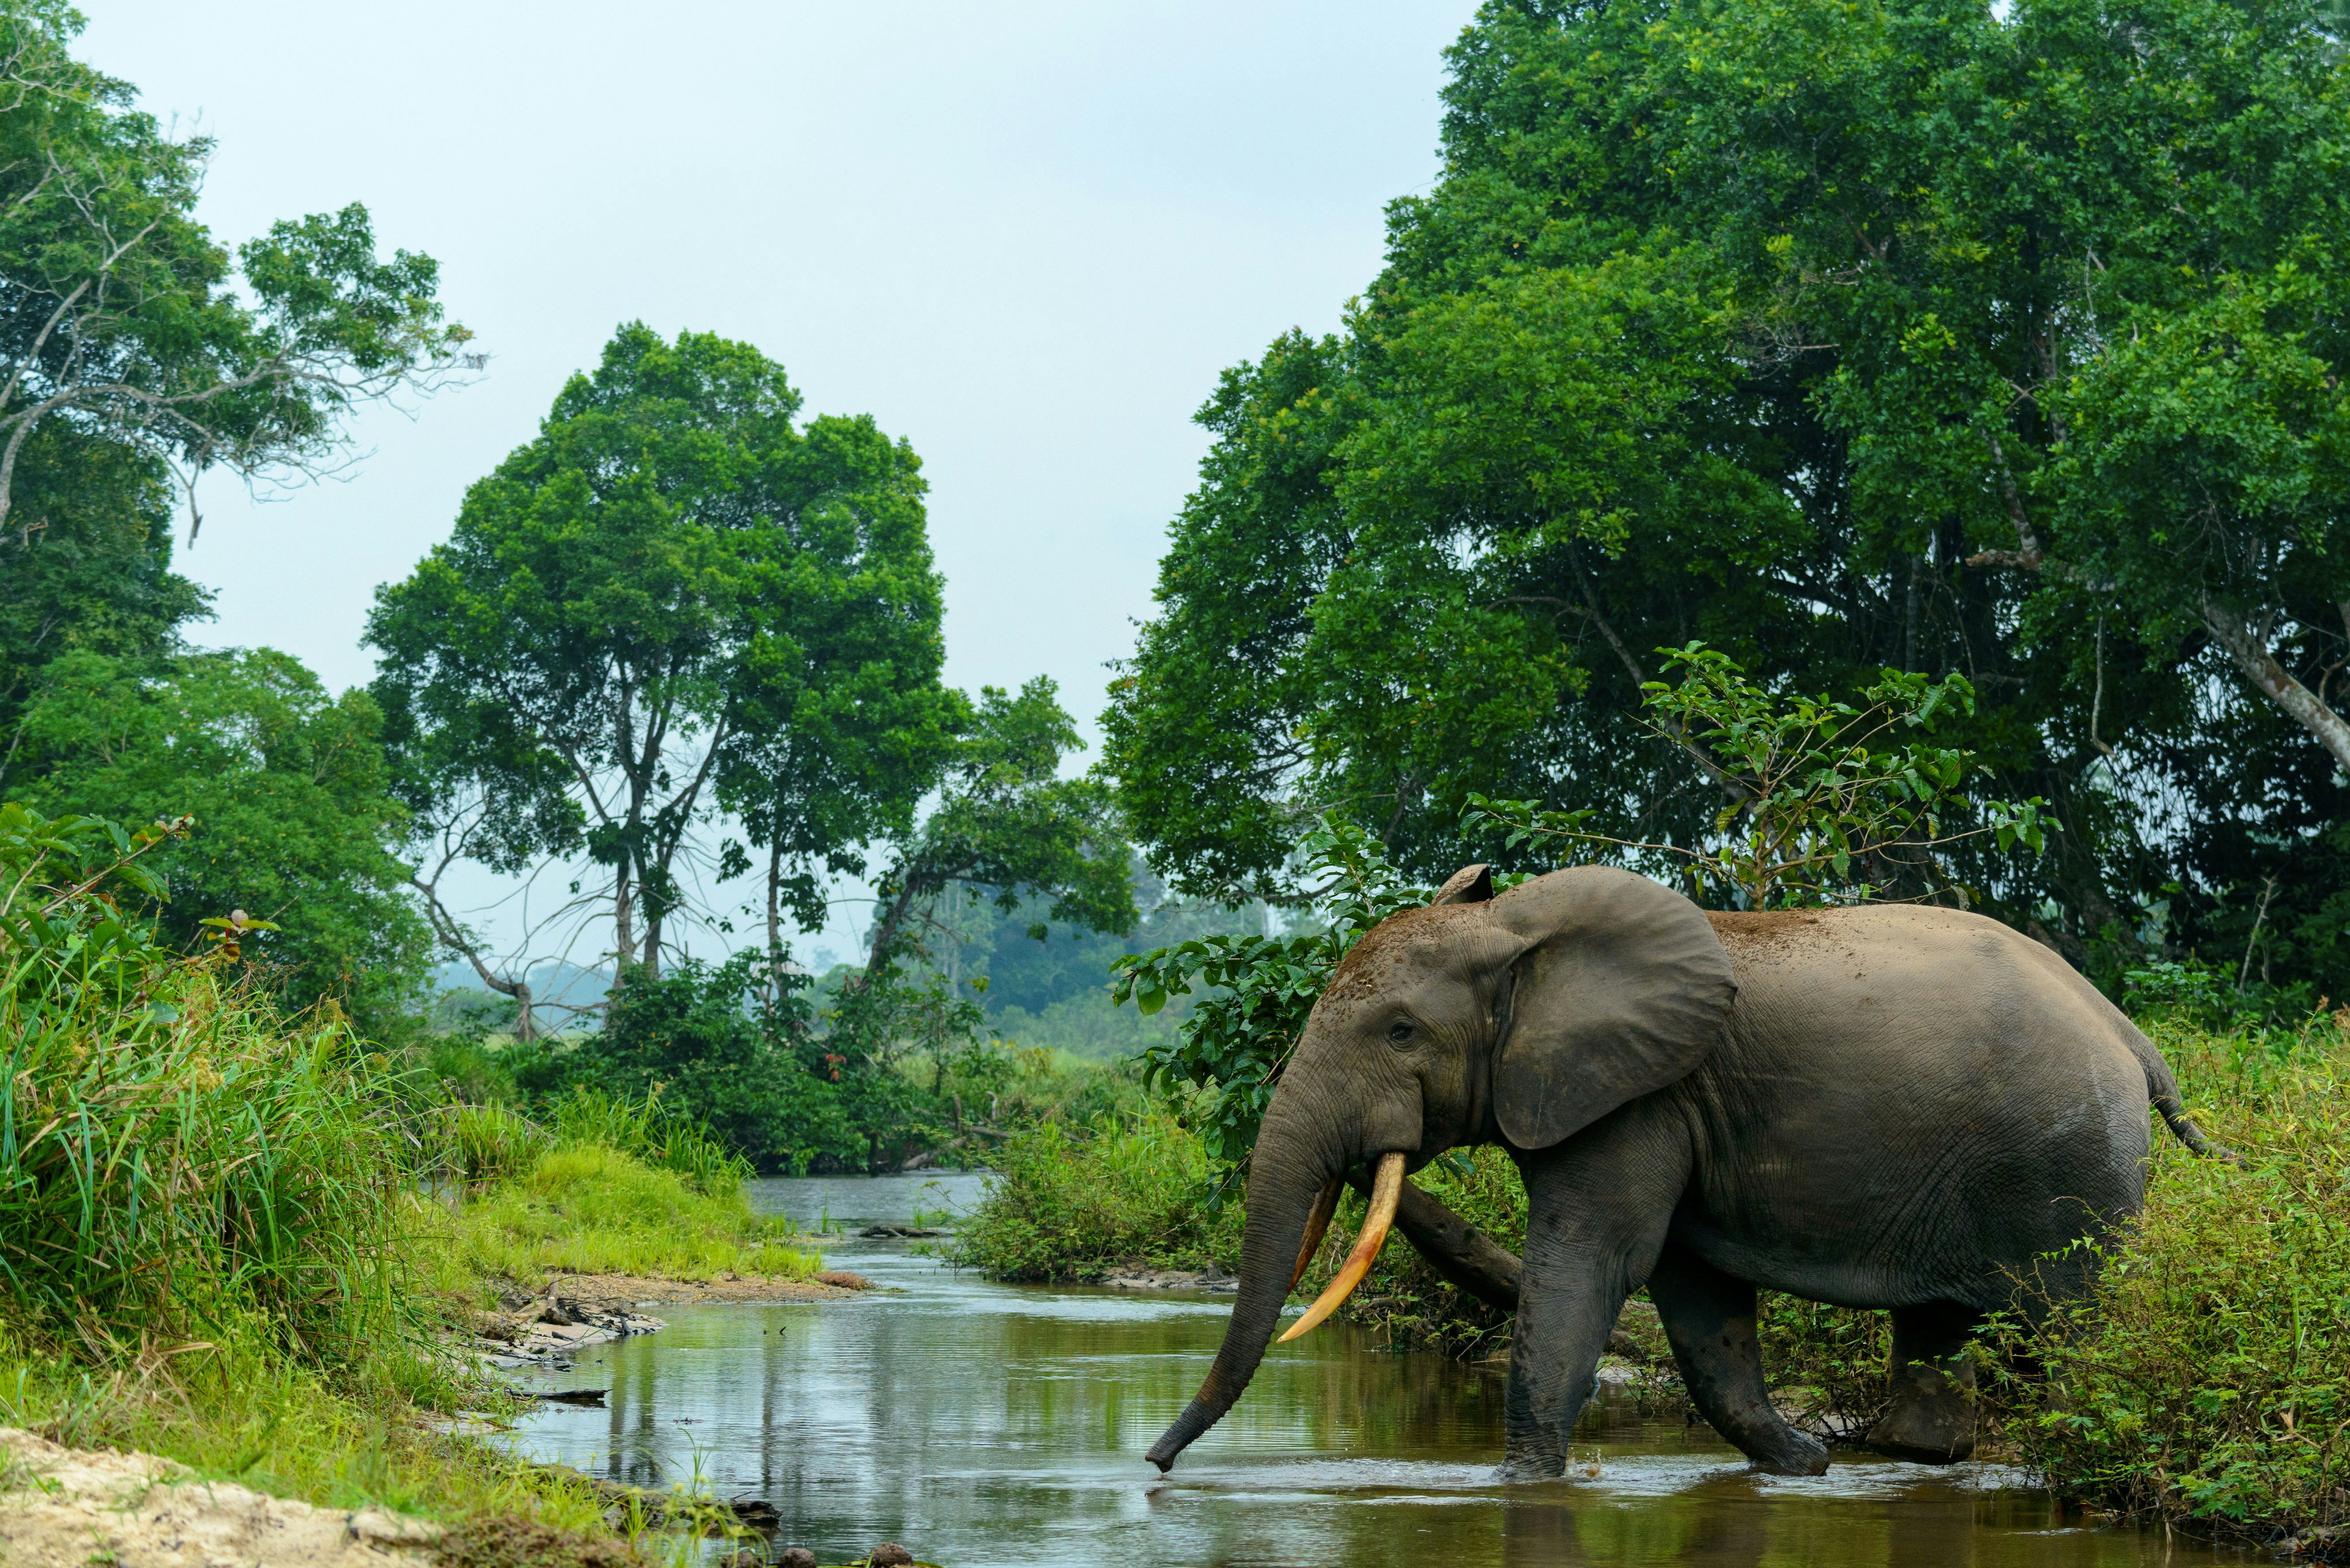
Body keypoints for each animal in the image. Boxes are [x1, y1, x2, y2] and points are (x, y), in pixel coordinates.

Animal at [1146, 865, 2228, 1476]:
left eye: (1401, 1031)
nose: (1152, 1466)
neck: (1519, 931)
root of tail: (2130, 1035)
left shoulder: (1634, 1094)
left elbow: (1595, 1262)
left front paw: (1517, 1485)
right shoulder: (1663, 1105)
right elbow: (1696, 1295)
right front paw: (1801, 1469)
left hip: (2065, 1158)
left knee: (2074, 1321)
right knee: (1937, 1326)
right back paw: (1909, 1460)